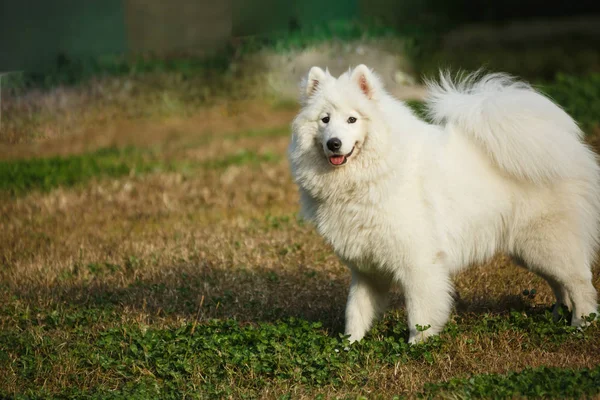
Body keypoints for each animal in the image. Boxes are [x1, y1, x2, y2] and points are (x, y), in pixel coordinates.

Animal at [288, 65, 596, 344]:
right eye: (325, 120)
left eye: (352, 119)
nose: (334, 143)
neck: (375, 173)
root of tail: (566, 147)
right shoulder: (366, 269)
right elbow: (356, 310)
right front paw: (348, 345)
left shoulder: (418, 260)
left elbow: (420, 312)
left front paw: (416, 346)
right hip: (530, 250)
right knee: (560, 284)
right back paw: (559, 317)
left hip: (546, 241)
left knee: (580, 282)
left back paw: (581, 325)